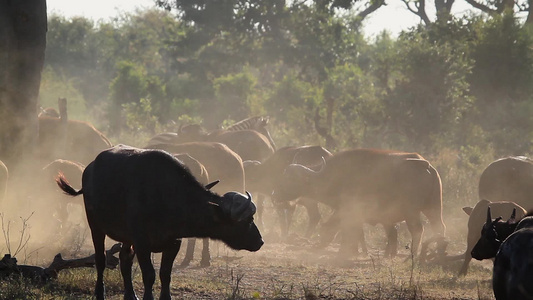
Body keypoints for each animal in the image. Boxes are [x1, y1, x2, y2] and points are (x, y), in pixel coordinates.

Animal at [56, 144, 262, 298]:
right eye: (248, 220)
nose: (260, 241)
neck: (168, 197)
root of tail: (88, 170)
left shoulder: (173, 243)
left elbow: (165, 275)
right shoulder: (142, 243)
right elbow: (149, 275)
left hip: (126, 237)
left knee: (124, 259)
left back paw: (131, 295)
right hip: (95, 227)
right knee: (100, 260)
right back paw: (100, 293)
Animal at [272, 149, 442, 256]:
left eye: (292, 179)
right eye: (284, 175)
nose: (274, 194)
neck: (334, 176)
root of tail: (425, 165)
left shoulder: (350, 212)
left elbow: (348, 231)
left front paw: (345, 251)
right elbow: (355, 232)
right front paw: (355, 251)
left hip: (411, 211)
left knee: (418, 230)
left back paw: (412, 255)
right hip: (434, 208)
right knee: (439, 228)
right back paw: (438, 253)